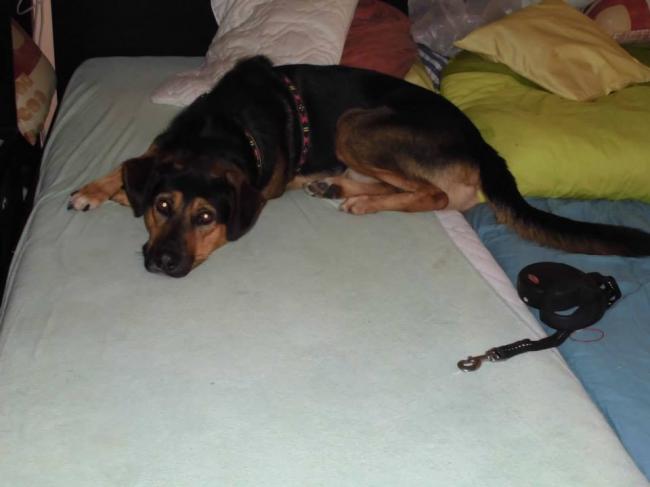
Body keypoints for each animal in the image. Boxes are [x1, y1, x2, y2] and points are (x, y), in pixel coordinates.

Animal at [68, 56, 650, 277]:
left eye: (206, 219)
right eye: (162, 207)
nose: (161, 263)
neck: (218, 130)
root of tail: (477, 138)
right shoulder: (160, 155)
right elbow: (131, 166)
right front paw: (94, 189)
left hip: (355, 124)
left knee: (438, 195)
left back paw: (361, 201)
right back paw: (337, 187)